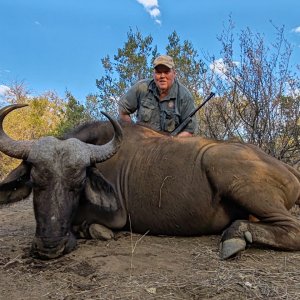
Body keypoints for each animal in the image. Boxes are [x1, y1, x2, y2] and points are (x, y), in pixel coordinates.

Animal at [0, 103, 300, 260]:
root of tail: (286, 167)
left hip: (223, 168)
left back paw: (236, 235)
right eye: (36, 182)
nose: (50, 247)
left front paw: (96, 231)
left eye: (78, 183)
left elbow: (92, 225)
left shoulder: (116, 217)